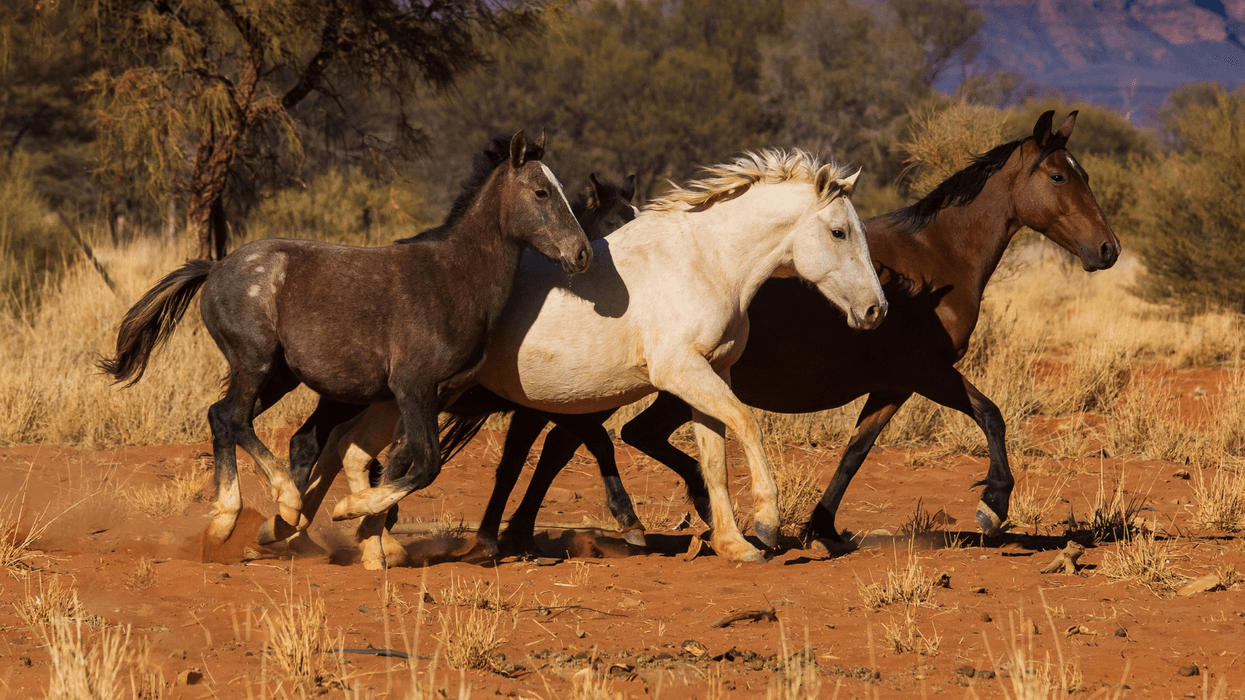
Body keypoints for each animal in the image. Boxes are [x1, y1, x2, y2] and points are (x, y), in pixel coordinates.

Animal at [98, 131, 592, 546]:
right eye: (542, 192)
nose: (582, 253)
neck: (452, 278)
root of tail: (216, 266)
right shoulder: (413, 387)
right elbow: (426, 463)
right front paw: (350, 510)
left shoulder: (436, 394)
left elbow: (397, 461)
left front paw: (373, 533)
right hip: (254, 363)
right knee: (233, 418)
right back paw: (282, 504)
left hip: (279, 377)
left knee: (222, 418)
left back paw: (236, 521)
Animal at [259, 173, 640, 568]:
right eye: (614, 224)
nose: (584, 257)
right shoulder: (539, 408)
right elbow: (581, 445)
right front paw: (626, 518)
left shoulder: (536, 411)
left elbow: (534, 459)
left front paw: (509, 537)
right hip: (347, 399)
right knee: (310, 443)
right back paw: (299, 529)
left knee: (329, 445)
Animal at [316, 149, 887, 565]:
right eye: (839, 231)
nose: (876, 309)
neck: (706, 262)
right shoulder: (680, 372)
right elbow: (745, 423)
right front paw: (766, 524)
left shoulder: (711, 373)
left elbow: (713, 457)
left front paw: (733, 544)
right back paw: (355, 530)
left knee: (363, 454)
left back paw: (368, 535)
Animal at [442, 110, 1121, 553]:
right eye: (1060, 177)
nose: (1107, 250)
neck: (938, 258)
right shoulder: (926, 371)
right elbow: (991, 415)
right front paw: (992, 506)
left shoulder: (893, 385)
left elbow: (854, 452)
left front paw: (818, 527)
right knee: (571, 441)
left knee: (591, 439)